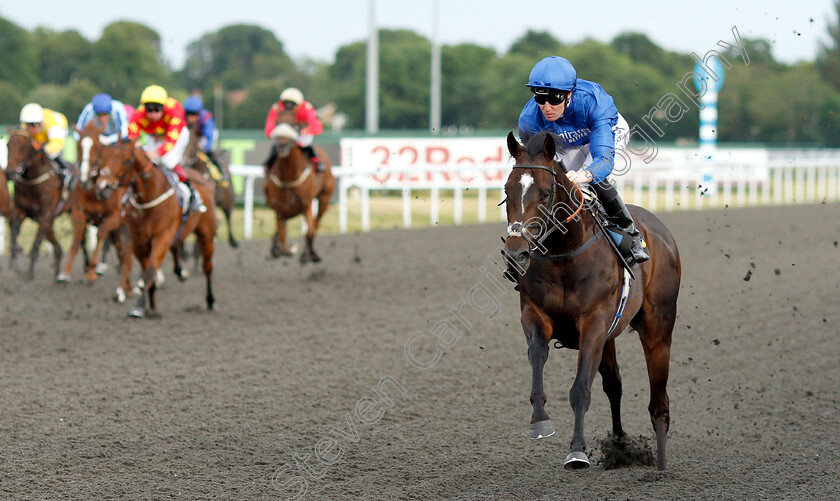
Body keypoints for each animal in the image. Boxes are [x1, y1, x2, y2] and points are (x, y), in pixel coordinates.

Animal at [4, 128, 65, 282]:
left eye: (23, 147)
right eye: (7, 145)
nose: (10, 172)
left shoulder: (45, 215)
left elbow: (35, 246)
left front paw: (29, 274)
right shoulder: (21, 210)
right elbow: (14, 231)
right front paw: (13, 262)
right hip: (50, 223)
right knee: (58, 247)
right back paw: (59, 277)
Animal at [57, 123, 132, 298]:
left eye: (98, 147)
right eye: (78, 146)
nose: (84, 176)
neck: (93, 192)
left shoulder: (114, 217)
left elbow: (100, 234)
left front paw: (91, 272)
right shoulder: (78, 213)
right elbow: (76, 240)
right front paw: (65, 273)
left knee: (129, 253)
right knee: (122, 252)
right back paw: (127, 286)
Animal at [95, 140, 217, 316]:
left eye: (126, 160)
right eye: (103, 158)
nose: (102, 186)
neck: (148, 195)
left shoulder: (161, 238)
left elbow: (150, 271)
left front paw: (138, 307)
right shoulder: (138, 241)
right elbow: (146, 271)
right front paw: (150, 305)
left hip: (206, 235)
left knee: (207, 266)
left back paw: (210, 299)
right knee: (176, 246)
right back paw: (180, 272)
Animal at [264, 108, 334, 262]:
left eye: (295, 125)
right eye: (277, 123)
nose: (282, 145)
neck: (288, 177)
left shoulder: (306, 205)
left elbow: (310, 231)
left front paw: (308, 255)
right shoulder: (280, 210)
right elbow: (282, 236)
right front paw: (280, 249)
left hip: (324, 198)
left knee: (316, 223)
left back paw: (311, 253)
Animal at [502, 132, 680, 468]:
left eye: (546, 193)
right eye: (507, 190)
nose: (515, 254)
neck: (564, 255)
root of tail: (661, 231)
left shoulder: (594, 322)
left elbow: (581, 388)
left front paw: (577, 451)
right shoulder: (534, 313)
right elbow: (537, 354)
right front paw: (540, 420)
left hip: (657, 329)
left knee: (659, 403)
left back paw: (662, 467)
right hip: (610, 338)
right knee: (615, 385)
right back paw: (621, 445)